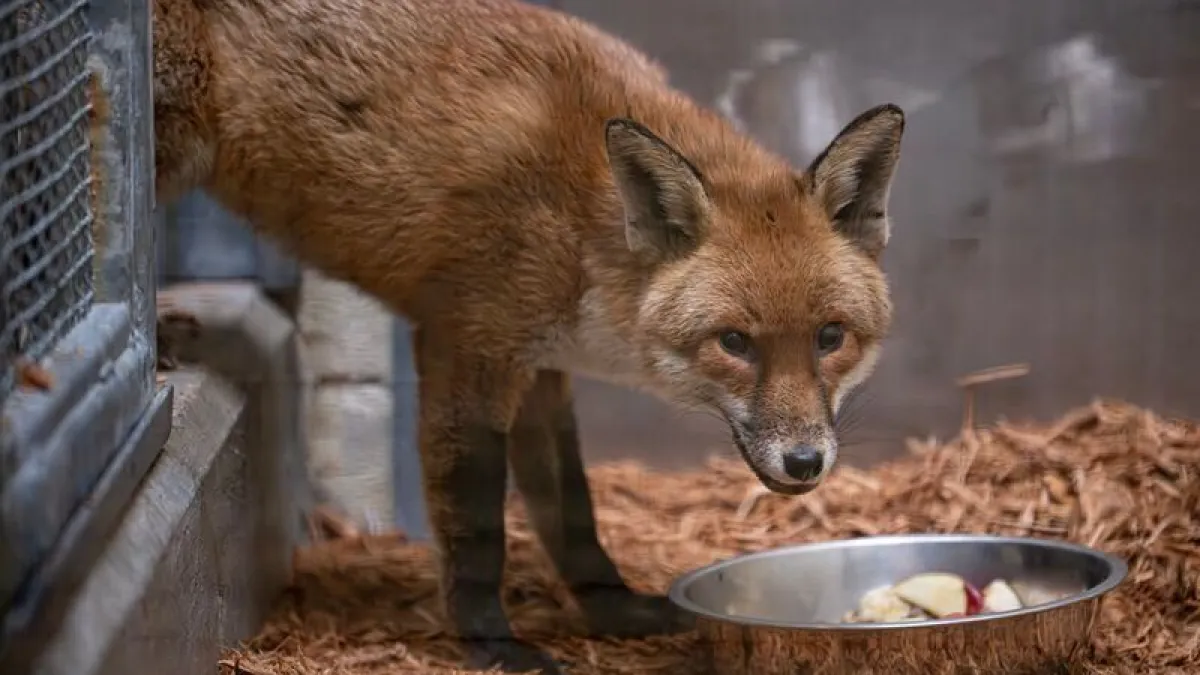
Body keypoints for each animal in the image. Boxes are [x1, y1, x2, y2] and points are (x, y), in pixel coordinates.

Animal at [149, 0, 904, 671]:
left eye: (830, 336)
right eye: (735, 343)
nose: (805, 462)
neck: (582, 223)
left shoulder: (542, 368)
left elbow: (572, 512)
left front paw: (614, 611)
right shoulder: (467, 346)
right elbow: (479, 526)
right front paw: (493, 646)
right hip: (167, 145)